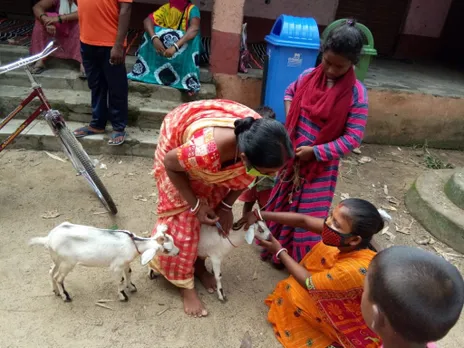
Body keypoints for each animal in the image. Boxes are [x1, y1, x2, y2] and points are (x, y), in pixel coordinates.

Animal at [29, 223, 179, 302]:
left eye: (172, 239)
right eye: (166, 250)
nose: (177, 252)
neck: (134, 243)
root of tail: (48, 238)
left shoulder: (125, 263)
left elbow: (129, 273)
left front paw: (131, 287)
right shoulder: (116, 267)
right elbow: (120, 280)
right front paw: (123, 296)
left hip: (57, 258)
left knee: (51, 271)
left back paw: (55, 291)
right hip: (67, 263)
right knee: (58, 277)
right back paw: (65, 296)